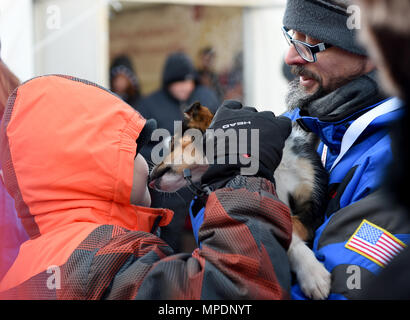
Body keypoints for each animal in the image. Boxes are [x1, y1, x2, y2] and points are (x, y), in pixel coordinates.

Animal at [149, 102, 332, 300]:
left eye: (172, 143)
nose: (149, 178)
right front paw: (312, 274)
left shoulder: (312, 207)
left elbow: (294, 225)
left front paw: (312, 272)